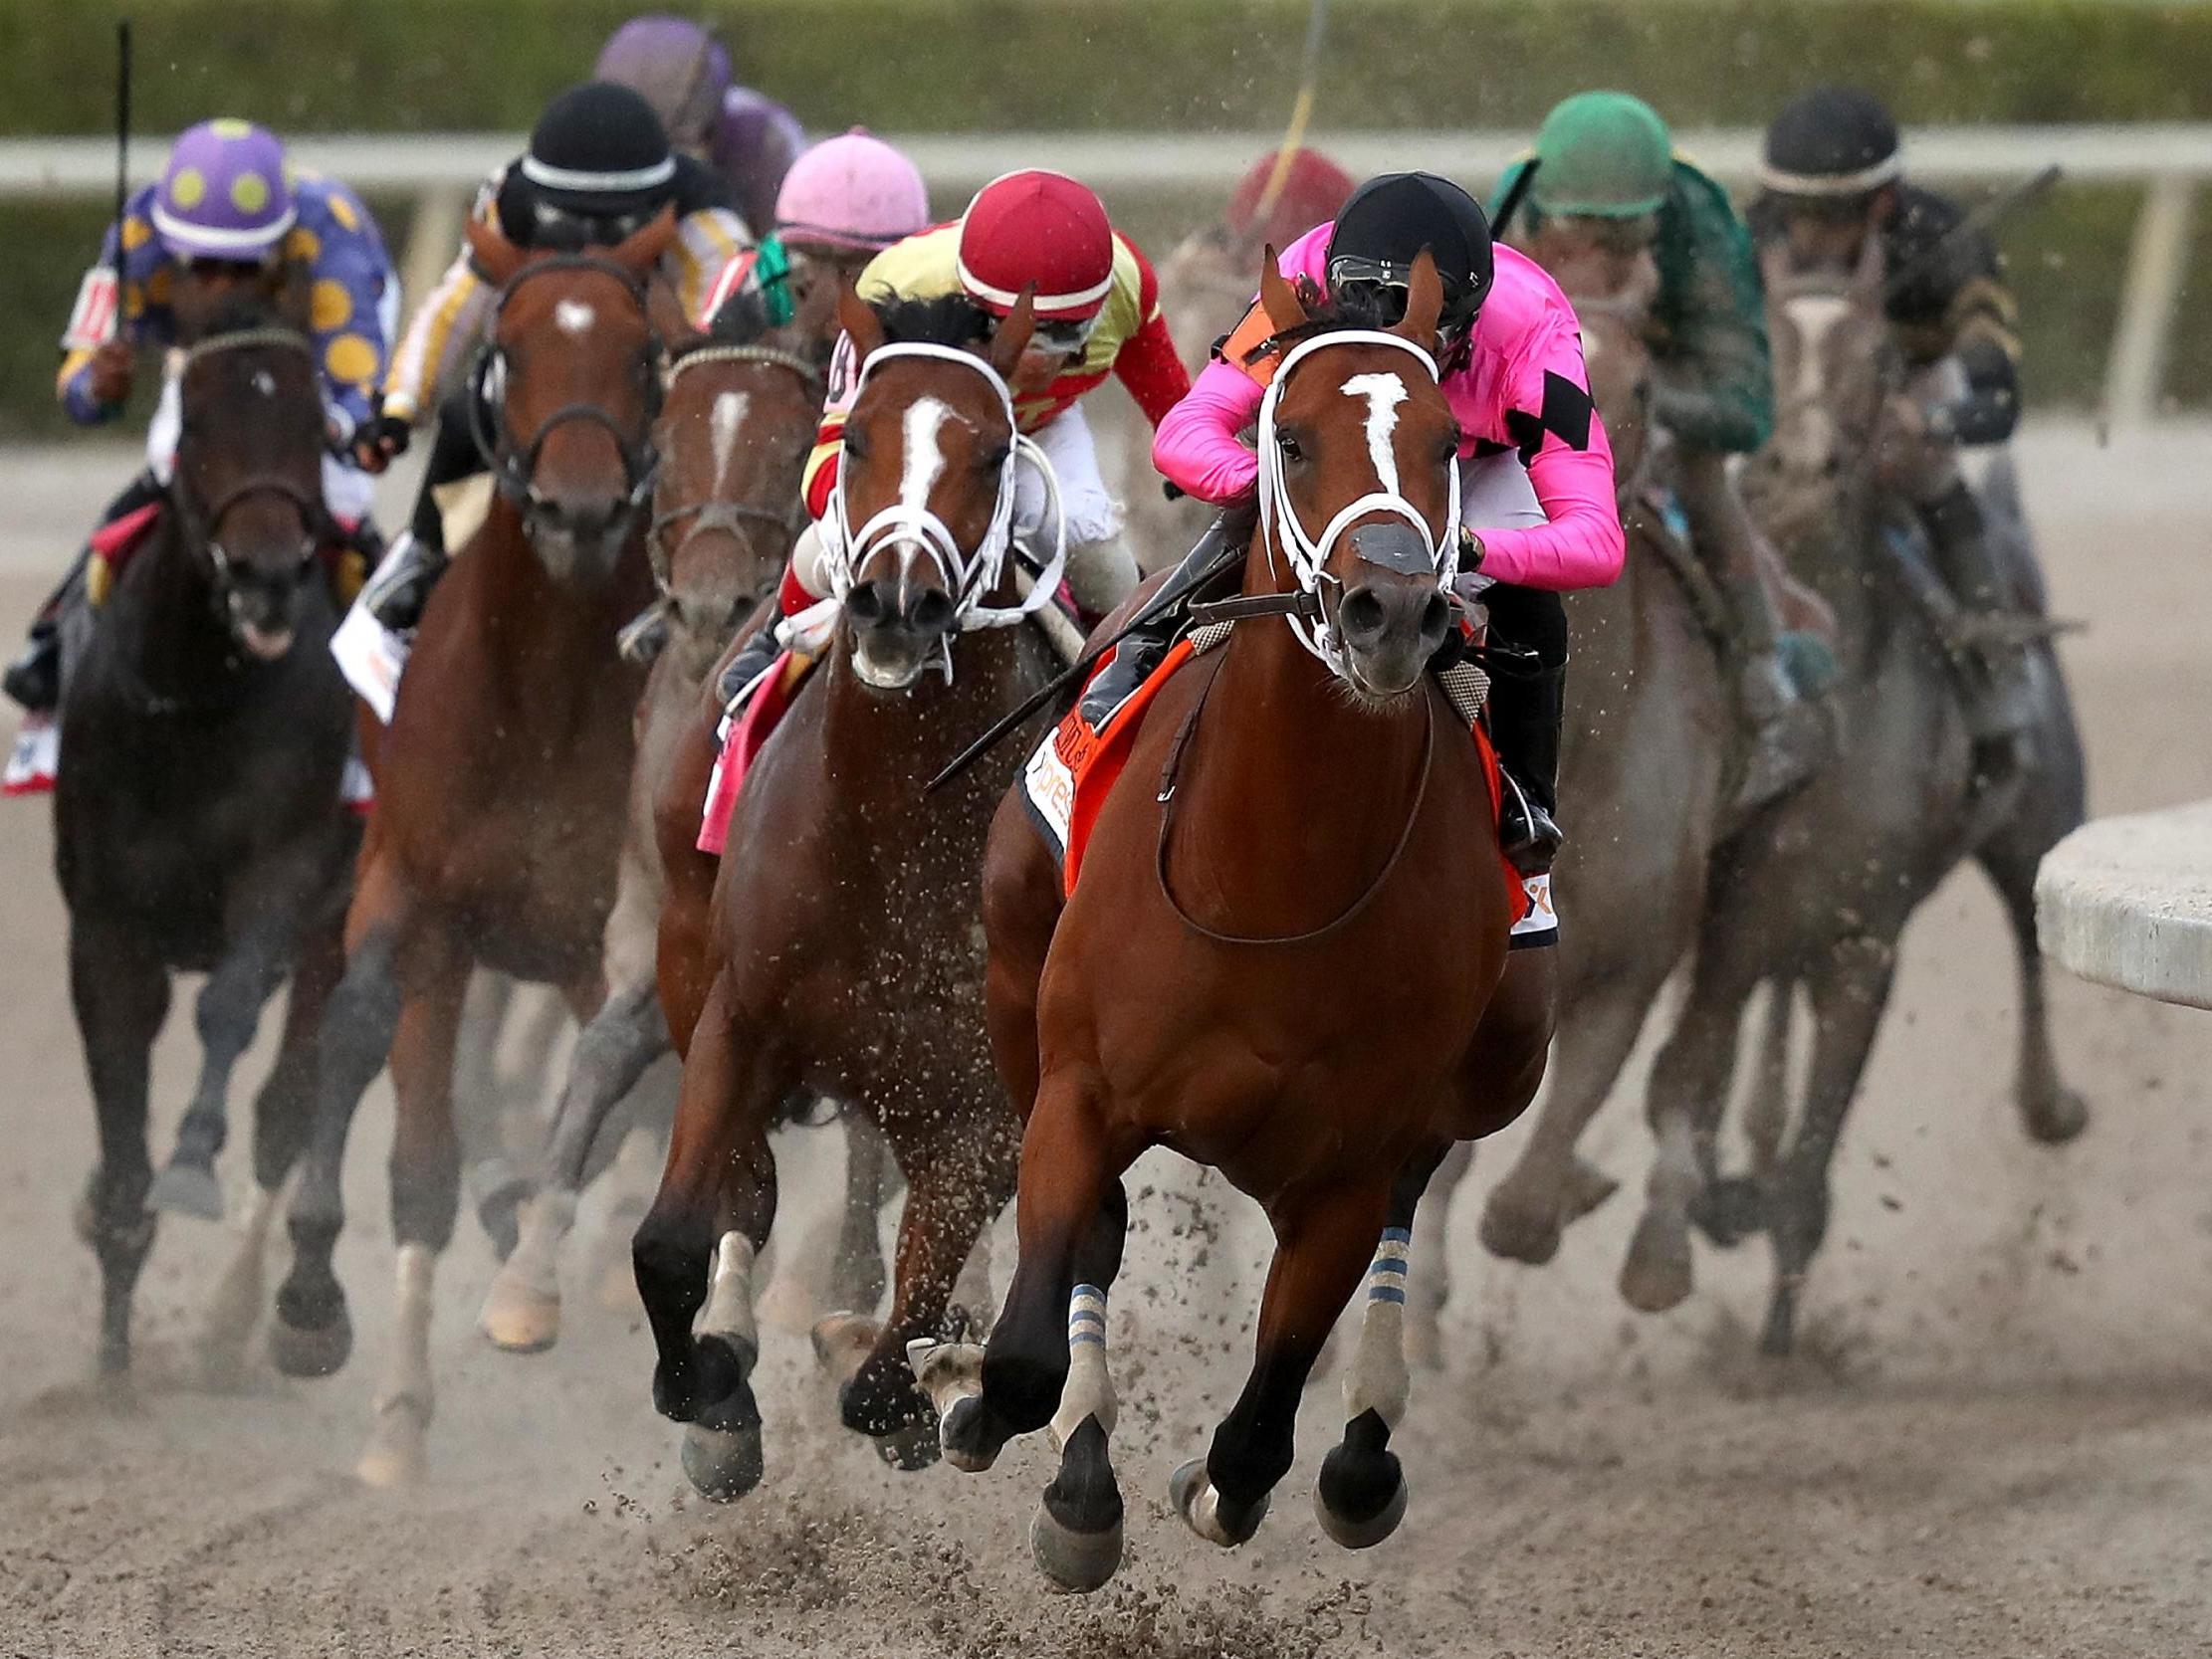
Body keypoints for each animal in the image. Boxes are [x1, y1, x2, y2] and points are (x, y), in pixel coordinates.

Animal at [55, 318, 353, 1379]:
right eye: (194, 432)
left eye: (316, 426)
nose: (264, 576)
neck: (198, 699)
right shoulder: (106, 923)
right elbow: (114, 1074)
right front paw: (109, 1358)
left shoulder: (288, 868)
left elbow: (227, 1008)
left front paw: (187, 1160)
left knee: (295, 1098)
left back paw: (293, 1308)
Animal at [263, 207, 672, 1477]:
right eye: (509, 350)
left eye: (645, 353)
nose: (581, 509)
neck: (540, 692)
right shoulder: (422, 903)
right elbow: (410, 1149)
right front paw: (383, 1394)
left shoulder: (611, 935)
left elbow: (610, 1106)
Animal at [632, 280, 1061, 1504]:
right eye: (855, 438)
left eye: (994, 449)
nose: (895, 602)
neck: (894, 828)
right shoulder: (740, 1014)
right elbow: (669, 1238)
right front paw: (712, 1398)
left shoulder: (983, 1101)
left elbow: (895, 1353)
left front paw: (925, 1379)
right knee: (751, 1189)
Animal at [924, 256, 1548, 1601]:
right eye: (1290, 434)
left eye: (1445, 441)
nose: (1387, 611)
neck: (1276, 881)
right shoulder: (1079, 1089)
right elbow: (1026, 1351)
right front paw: (977, 1405)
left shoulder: (1345, 1166)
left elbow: (1258, 1434)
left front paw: (1217, 1480)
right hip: (1014, 983)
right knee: (1095, 1236)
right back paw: (1076, 1470)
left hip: (1499, 1059)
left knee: (1414, 1196)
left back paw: (1358, 1451)